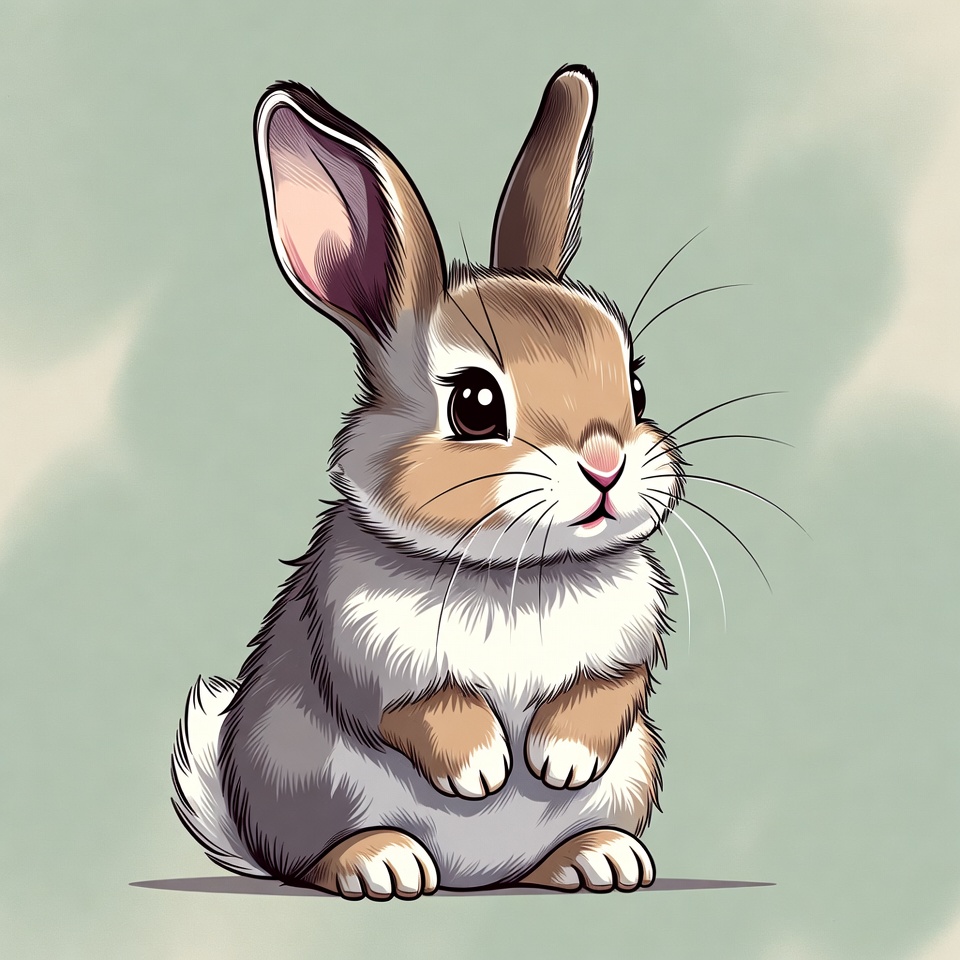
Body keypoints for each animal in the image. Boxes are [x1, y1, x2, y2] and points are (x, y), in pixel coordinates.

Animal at [171, 64, 685, 899]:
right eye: (474, 404)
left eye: (636, 387)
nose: (606, 464)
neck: (514, 571)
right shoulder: (369, 653)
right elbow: (419, 707)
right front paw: (482, 769)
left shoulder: (626, 649)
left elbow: (607, 691)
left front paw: (559, 760)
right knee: (310, 863)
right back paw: (383, 864)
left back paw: (599, 859)